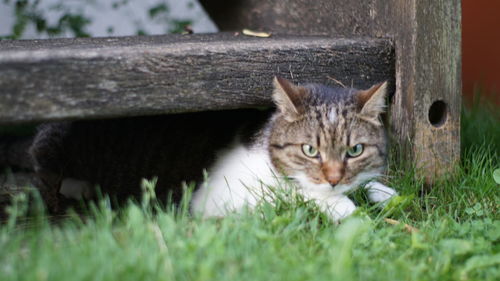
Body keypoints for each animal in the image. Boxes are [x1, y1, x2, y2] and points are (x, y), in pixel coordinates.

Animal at [29, 77, 396, 221]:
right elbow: (294, 194)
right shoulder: (216, 199)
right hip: (53, 149)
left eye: (355, 150)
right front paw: (342, 206)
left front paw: (380, 191)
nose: (333, 179)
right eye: (309, 150)